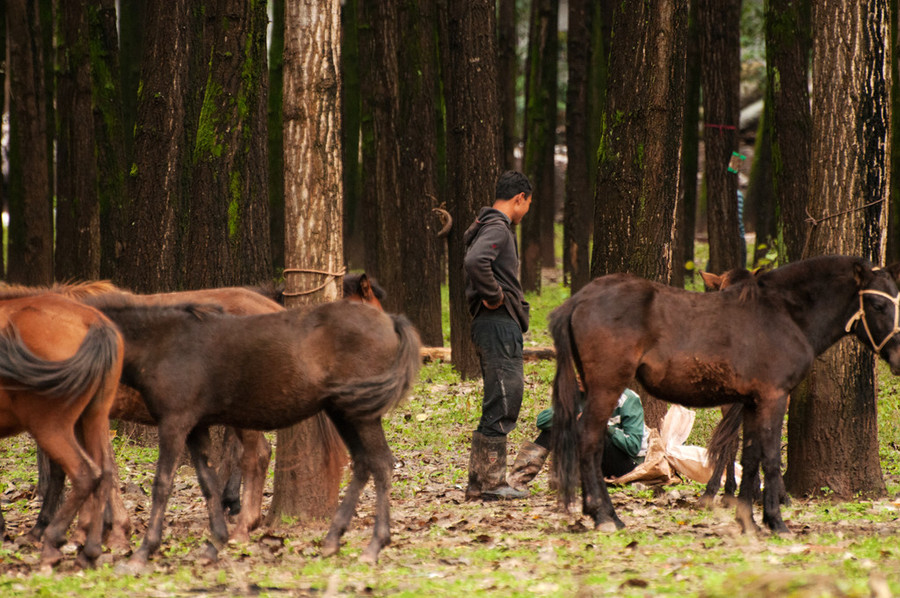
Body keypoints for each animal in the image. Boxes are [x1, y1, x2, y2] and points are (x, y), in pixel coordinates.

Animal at [0, 296, 123, 568]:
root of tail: (94, 321)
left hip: (49, 426)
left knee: (84, 473)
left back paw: (52, 542)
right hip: (95, 415)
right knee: (105, 472)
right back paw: (90, 552)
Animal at [81, 298, 422, 568]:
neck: (162, 345)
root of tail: (390, 320)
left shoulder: (174, 423)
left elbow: (163, 483)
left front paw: (143, 552)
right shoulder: (196, 426)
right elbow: (208, 482)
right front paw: (214, 544)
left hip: (362, 413)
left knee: (381, 463)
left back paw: (374, 546)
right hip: (343, 410)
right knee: (363, 463)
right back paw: (332, 540)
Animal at [548, 255, 900, 536]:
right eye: (879, 305)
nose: (899, 358)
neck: (782, 315)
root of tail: (580, 298)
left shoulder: (751, 402)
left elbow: (750, 457)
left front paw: (748, 520)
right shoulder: (773, 398)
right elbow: (770, 457)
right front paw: (775, 522)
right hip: (606, 387)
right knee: (589, 441)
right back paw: (605, 516)